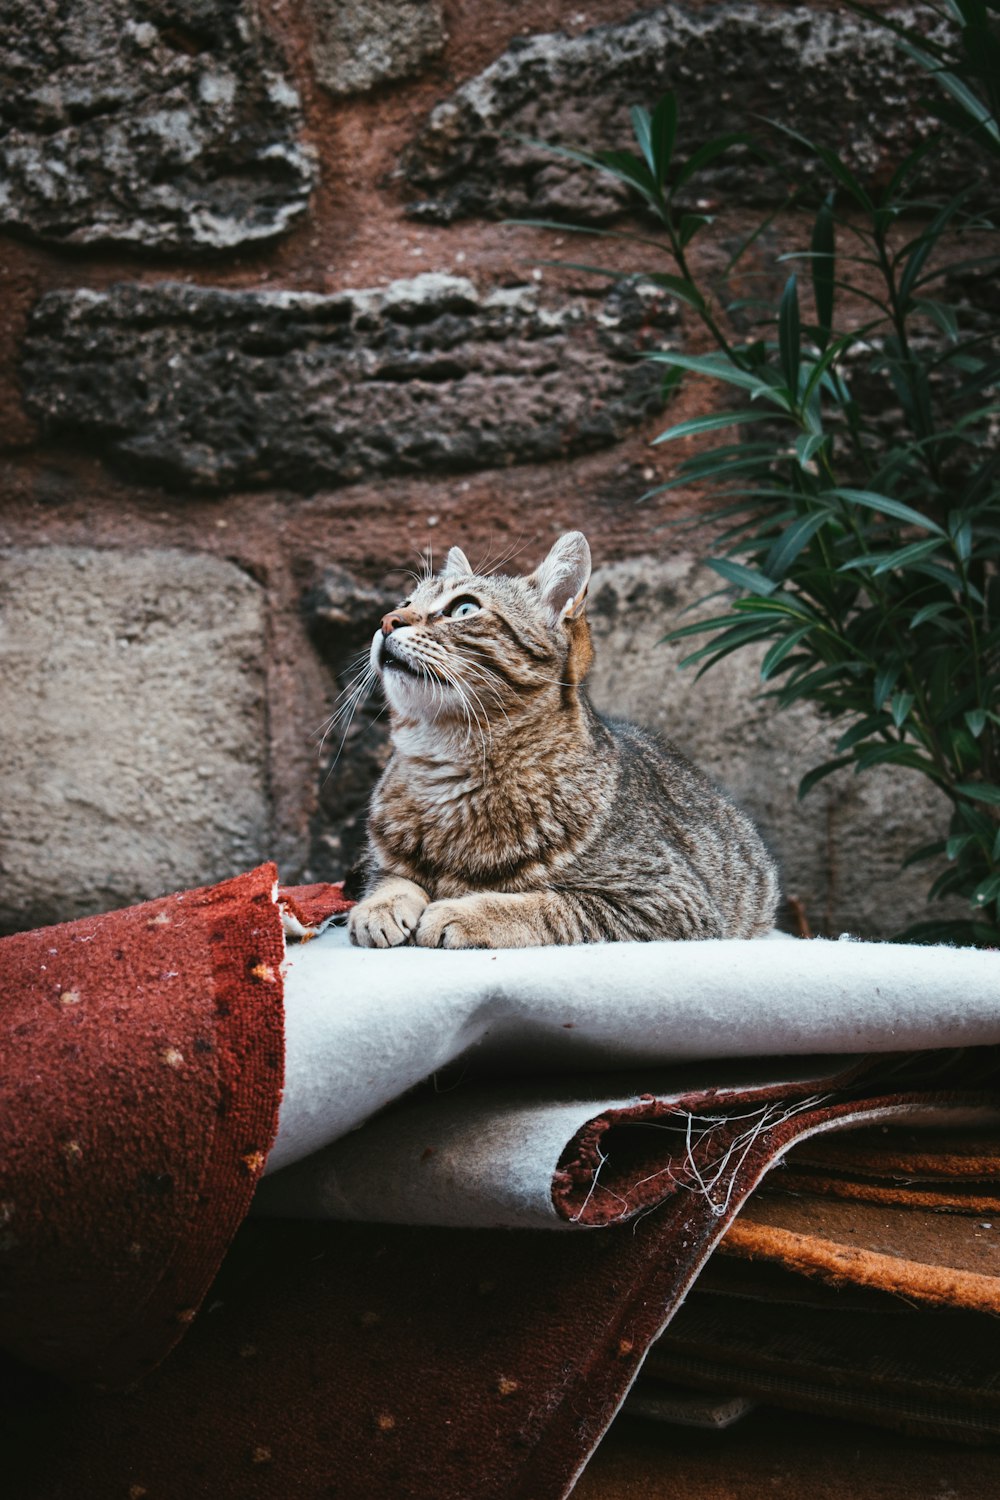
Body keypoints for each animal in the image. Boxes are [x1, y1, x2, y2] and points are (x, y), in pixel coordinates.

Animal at [350, 531, 779, 948]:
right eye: (405, 603)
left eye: (464, 609)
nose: (387, 620)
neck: (445, 763)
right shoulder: (380, 860)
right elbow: (390, 876)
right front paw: (380, 905)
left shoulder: (667, 898)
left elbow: (547, 905)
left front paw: (465, 912)